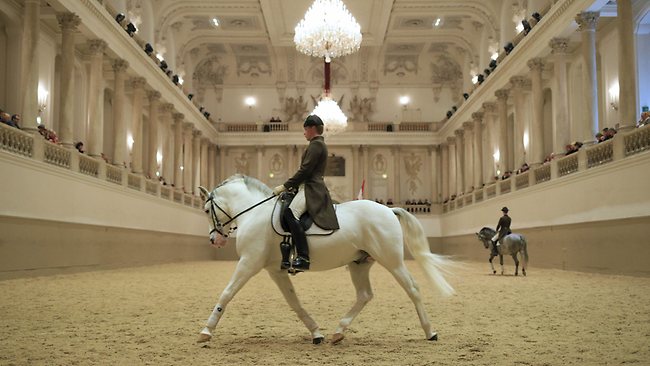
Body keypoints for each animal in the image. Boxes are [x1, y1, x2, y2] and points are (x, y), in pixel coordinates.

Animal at [195, 174, 454, 344]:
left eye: (207, 211)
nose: (214, 240)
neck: (254, 213)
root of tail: (388, 209)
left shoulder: (249, 262)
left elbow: (227, 293)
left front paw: (206, 331)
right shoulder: (275, 270)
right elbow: (294, 303)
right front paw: (315, 332)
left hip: (392, 261)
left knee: (413, 288)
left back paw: (430, 332)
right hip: (359, 263)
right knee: (365, 295)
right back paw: (338, 332)